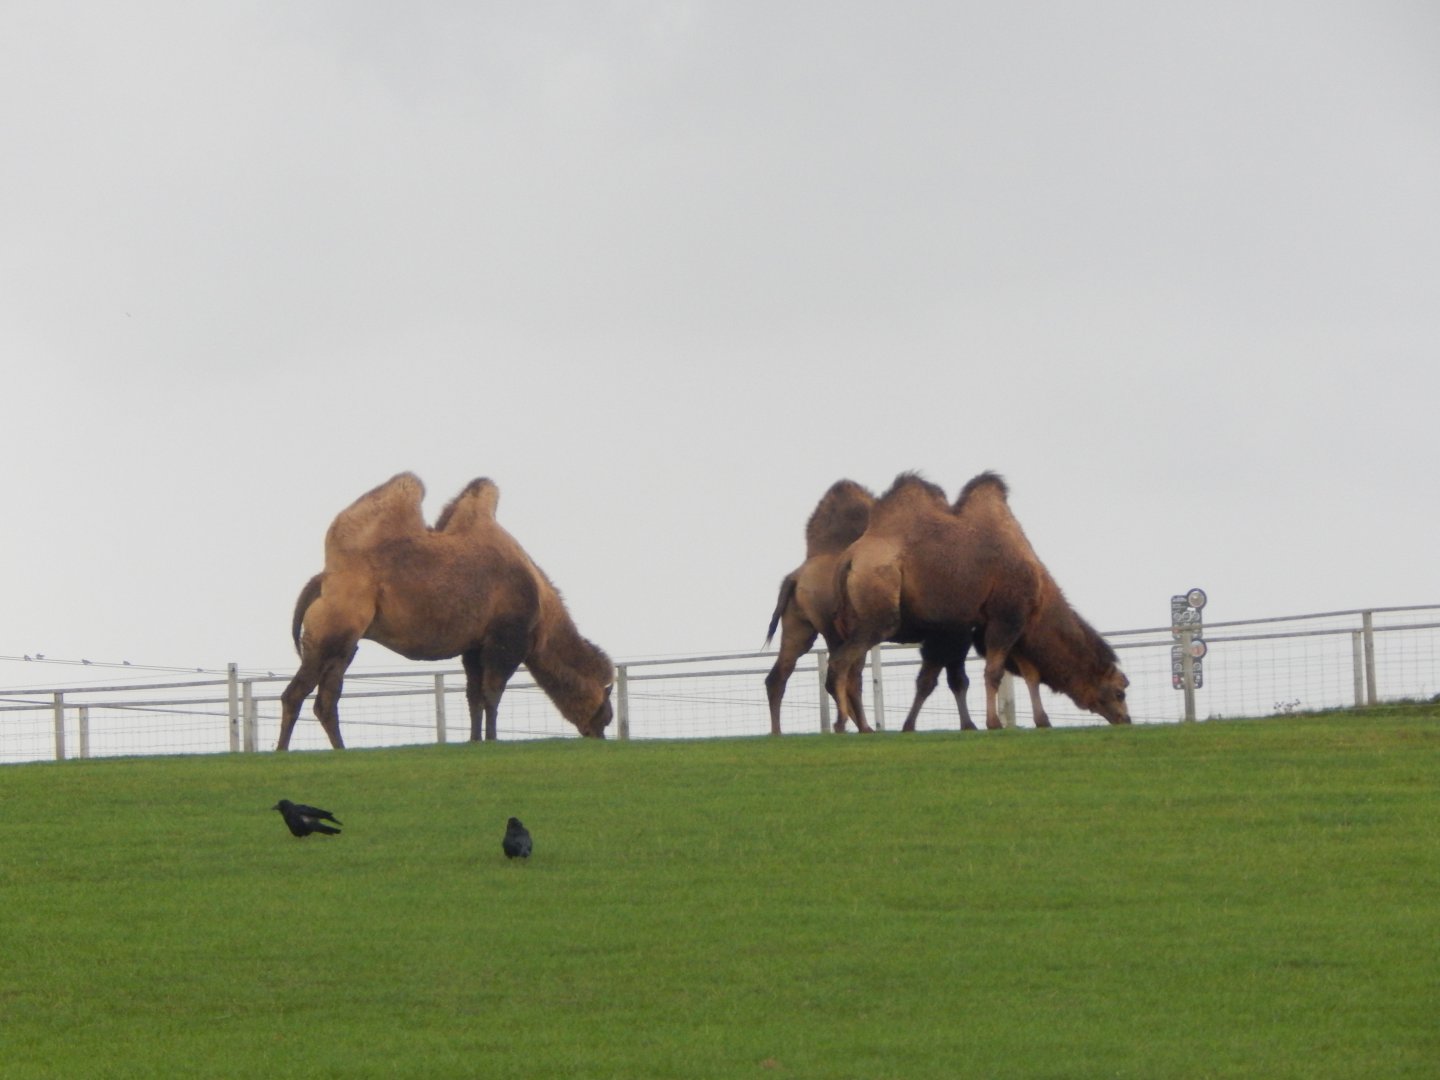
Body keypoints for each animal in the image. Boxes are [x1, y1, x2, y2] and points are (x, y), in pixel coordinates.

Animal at [277, 473, 614, 750]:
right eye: (605, 710)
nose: (601, 734)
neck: (542, 611)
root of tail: (323, 580)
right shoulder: (506, 639)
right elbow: (492, 693)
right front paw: (493, 740)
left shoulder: (474, 646)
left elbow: (474, 696)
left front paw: (475, 741)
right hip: (333, 629)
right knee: (295, 693)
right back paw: (282, 751)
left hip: (346, 645)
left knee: (326, 698)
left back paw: (341, 750)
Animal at [829, 471, 1130, 732]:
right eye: (1119, 692)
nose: (1126, 719)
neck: (1039, 597)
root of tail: (849, 560)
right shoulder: (1005, 617)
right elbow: (991, 672)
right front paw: (992, 723)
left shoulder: (981, 628)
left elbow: (1022, 674)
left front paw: (1040, 721)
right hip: (878, 612)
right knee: (841, 662)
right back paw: (842, 724)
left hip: (852, 621)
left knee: (853, 672)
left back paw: (864, 727)